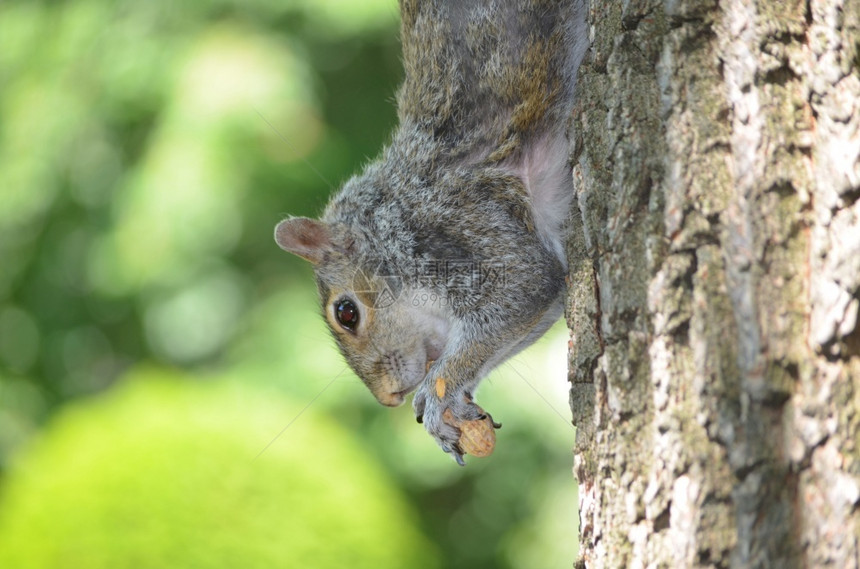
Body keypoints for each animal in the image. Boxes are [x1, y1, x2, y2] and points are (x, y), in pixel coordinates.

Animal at [276, 0, 592, 462]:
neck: (393, 217)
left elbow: (525, 285)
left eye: (346, 312)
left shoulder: (458, 224)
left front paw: (439, 392)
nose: (389, 397)